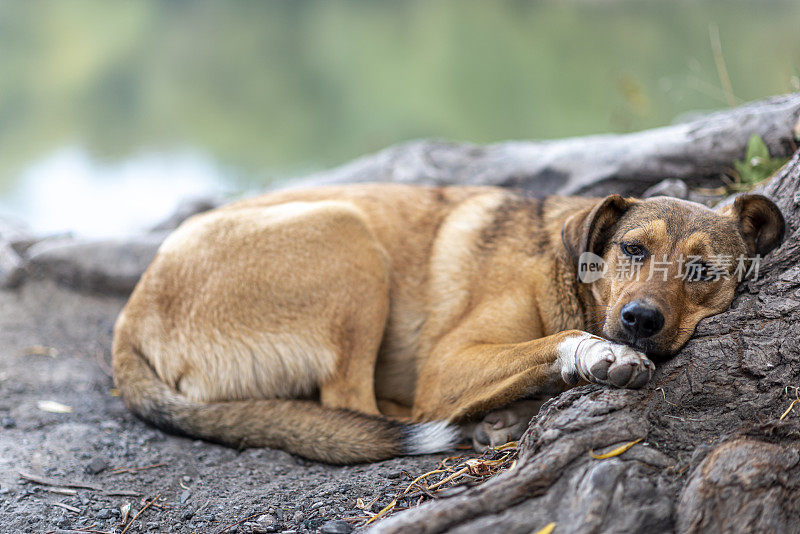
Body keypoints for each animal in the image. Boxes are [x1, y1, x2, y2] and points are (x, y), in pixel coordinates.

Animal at [109, 184, 784, 464]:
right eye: (633, 250)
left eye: (701, 270)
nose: (639, 319)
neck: (566, 274)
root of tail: (130, 321)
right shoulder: (445, 363)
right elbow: (554, 343)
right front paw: (599, 354)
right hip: (348, 236)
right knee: (362, 407)